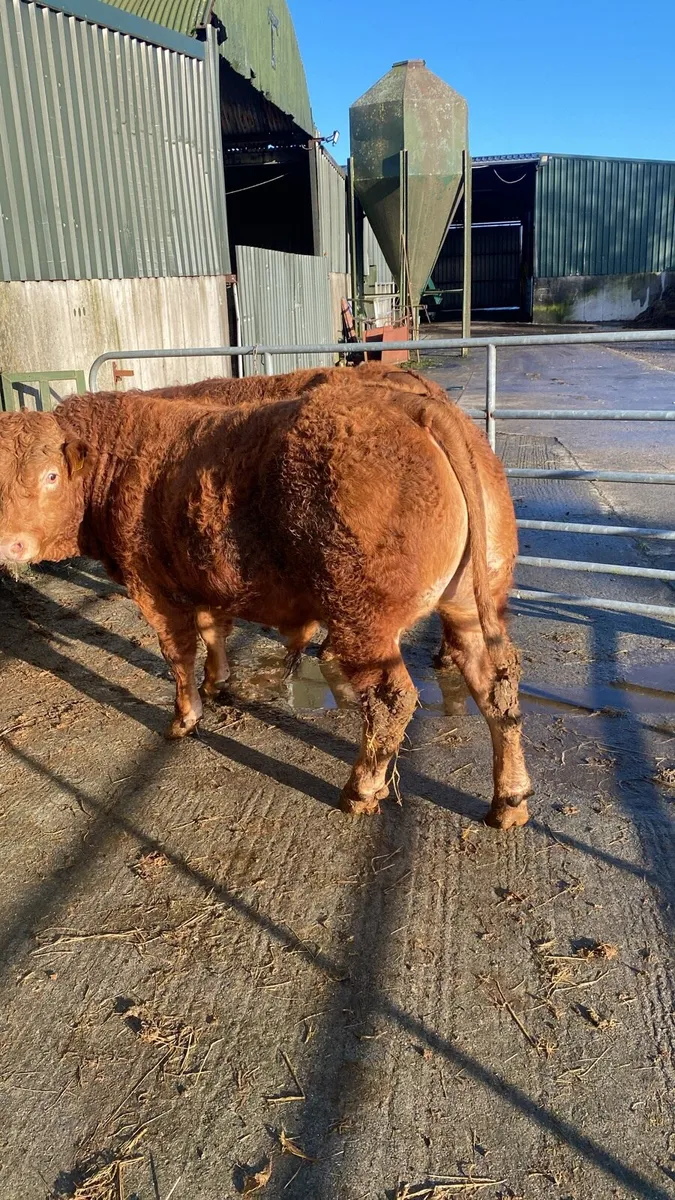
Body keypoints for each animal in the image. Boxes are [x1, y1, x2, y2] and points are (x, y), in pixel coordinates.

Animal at [0, 374, 532, 828]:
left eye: (51, 476)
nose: (11, 546)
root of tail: (415, 405)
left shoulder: (151, 586)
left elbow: (178, 654)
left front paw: (184, 717)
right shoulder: (206, 579)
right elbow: (213, 631)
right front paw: (217, 683)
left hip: (364, 619)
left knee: (391, 700)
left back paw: (360, 790)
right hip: (468, 605)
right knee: (497, 684)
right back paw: (510, 800)